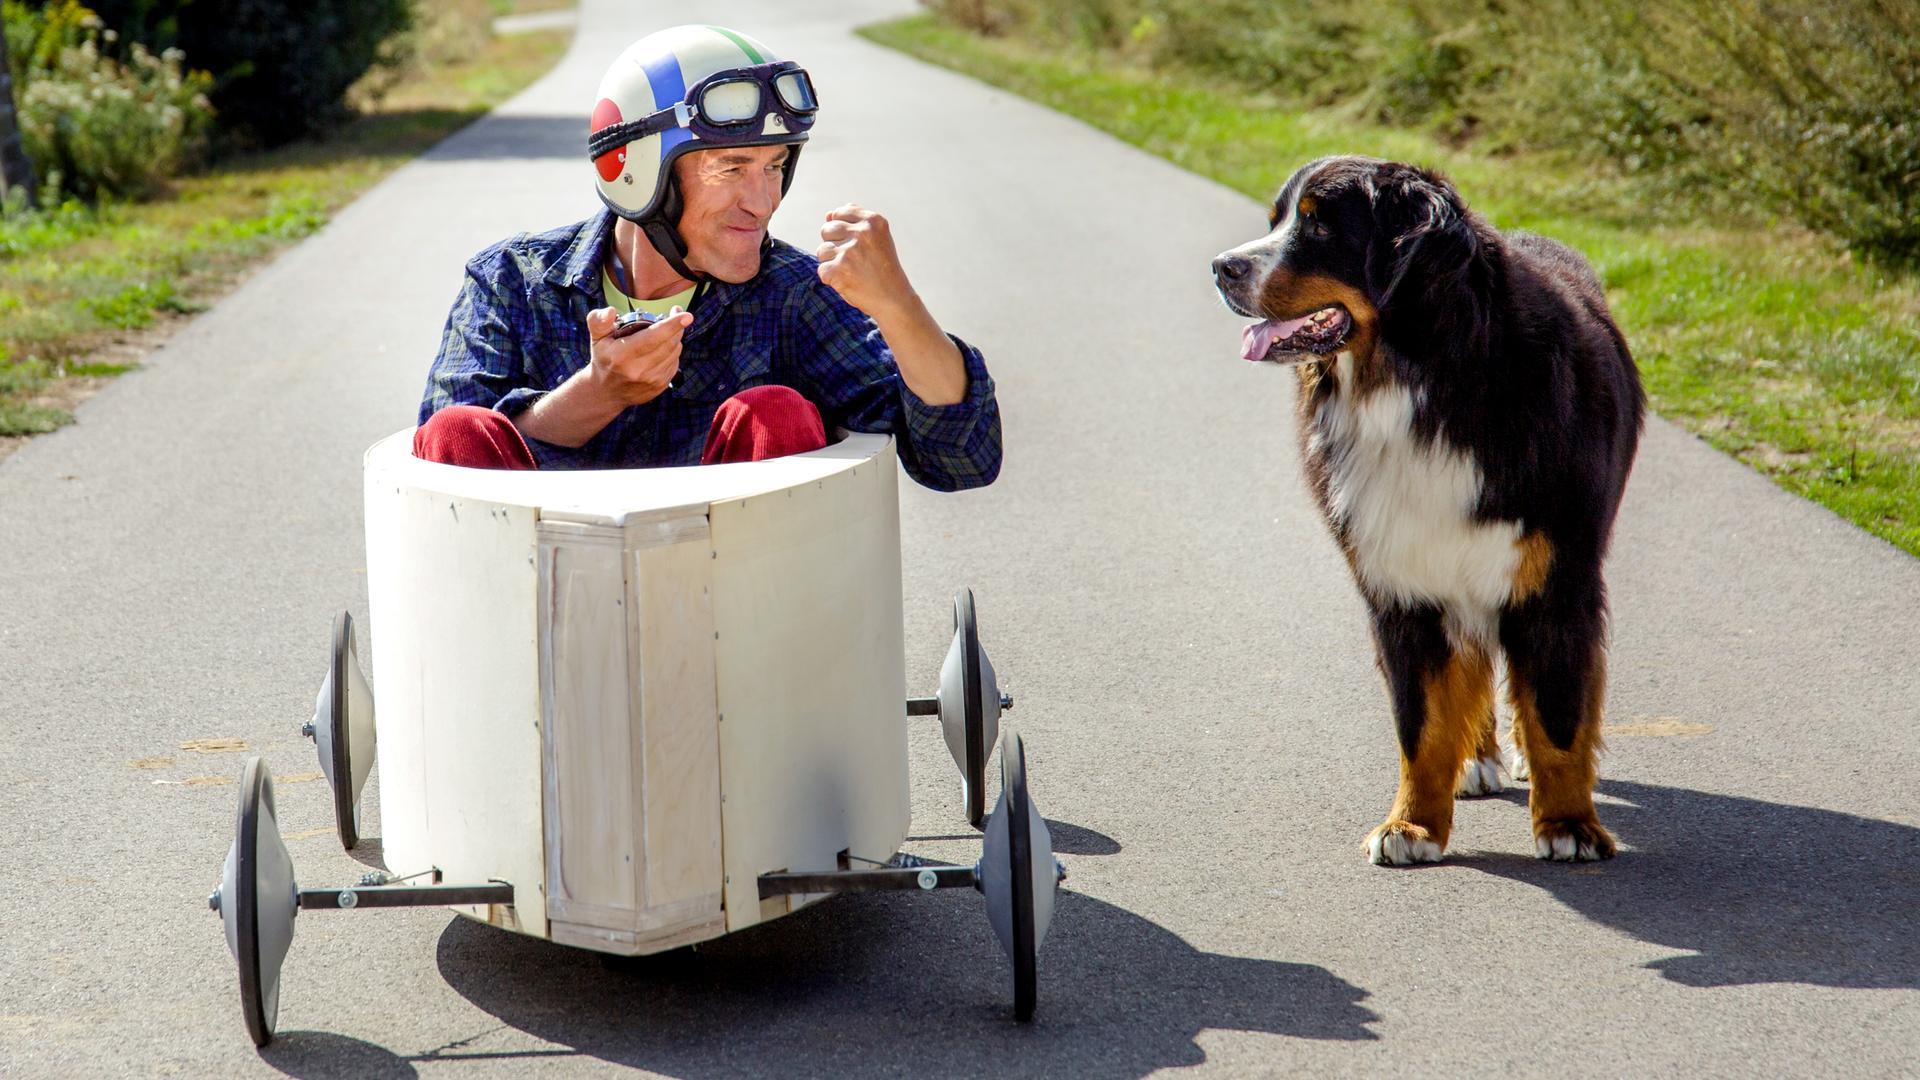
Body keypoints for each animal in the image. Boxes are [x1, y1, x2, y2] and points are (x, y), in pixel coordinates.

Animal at [1212, 156, 1644, 865]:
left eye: (1319, 226)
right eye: (1276, 220)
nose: (1222, 267)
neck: (1422, 384)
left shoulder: (1556, 580)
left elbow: (1557, 715)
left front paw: (1569, 825)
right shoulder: (1402, 583)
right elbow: (1421, 723)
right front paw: (1412, 825)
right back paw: (1476, 759)